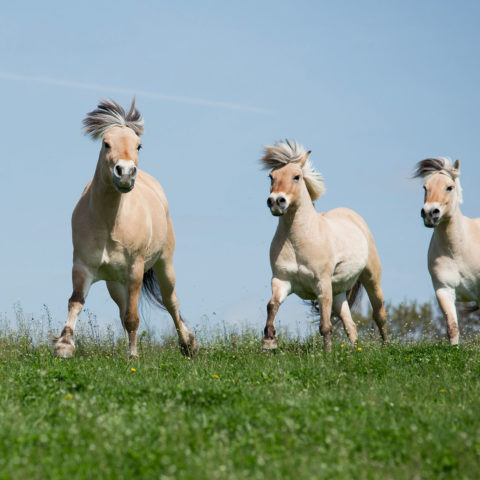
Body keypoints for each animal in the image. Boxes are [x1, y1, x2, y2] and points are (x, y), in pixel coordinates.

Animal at [54, 99, 199, 358]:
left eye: (138, 146)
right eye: (106, 143)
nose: (125, 173)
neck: (109, 224)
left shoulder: (135, 271)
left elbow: (133, 317)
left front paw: (133, 356)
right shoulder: (82, 266)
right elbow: (76, 301)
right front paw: (64, 345)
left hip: (164, 265)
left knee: (170, 302)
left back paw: (188, 344)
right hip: (115, 283)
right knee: (123, 310)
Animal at [260, 141, 388, 350]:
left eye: (296, 176)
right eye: (271, 176)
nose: (276, 202)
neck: (298, 242)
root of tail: (355, 217)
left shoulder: (322, 284)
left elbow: (325, 326)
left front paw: (326, 353)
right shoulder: (281, 281)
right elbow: (272, 305)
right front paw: (269, 341)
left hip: (371, 278)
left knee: (380, 315)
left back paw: (386, 346)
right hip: (338, 293)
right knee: (350, 325)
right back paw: (354, 350)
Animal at [412, 158, 480, 344]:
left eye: (449, 187)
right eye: (425, 187)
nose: (430, 213)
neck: (458, 251)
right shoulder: (444, 289)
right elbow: (452, 327)